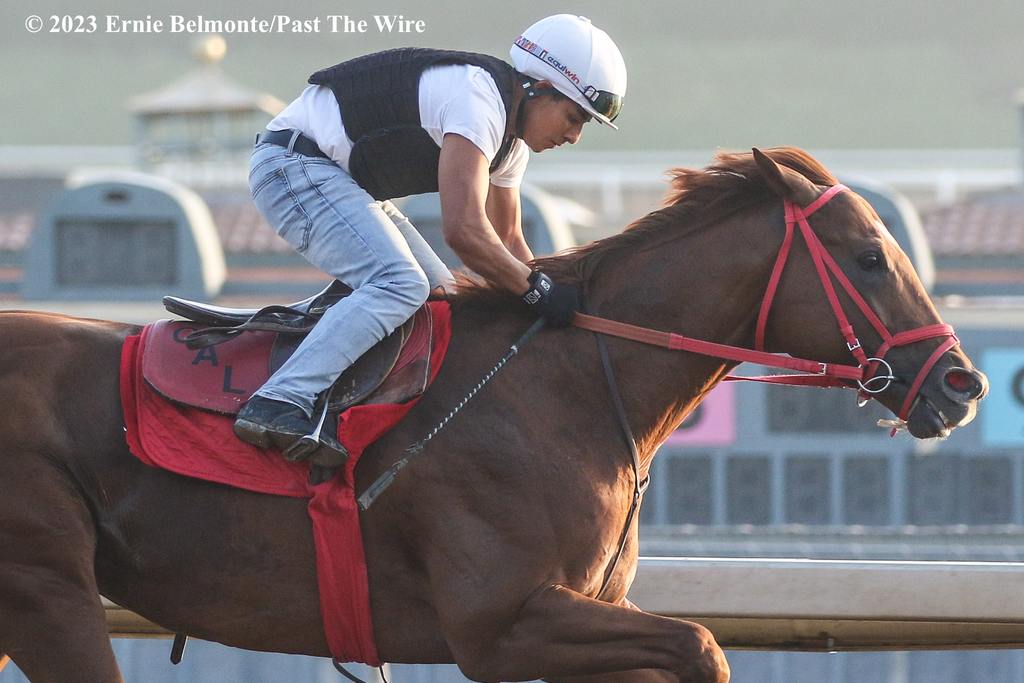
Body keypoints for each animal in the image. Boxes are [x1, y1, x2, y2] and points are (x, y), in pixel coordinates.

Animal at [2, 149, 991, 683]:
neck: (572, 388)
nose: (961, 382)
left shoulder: (581, 615)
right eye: (869, 256)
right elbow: (704, 643)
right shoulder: (500, 619)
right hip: (47, 588)